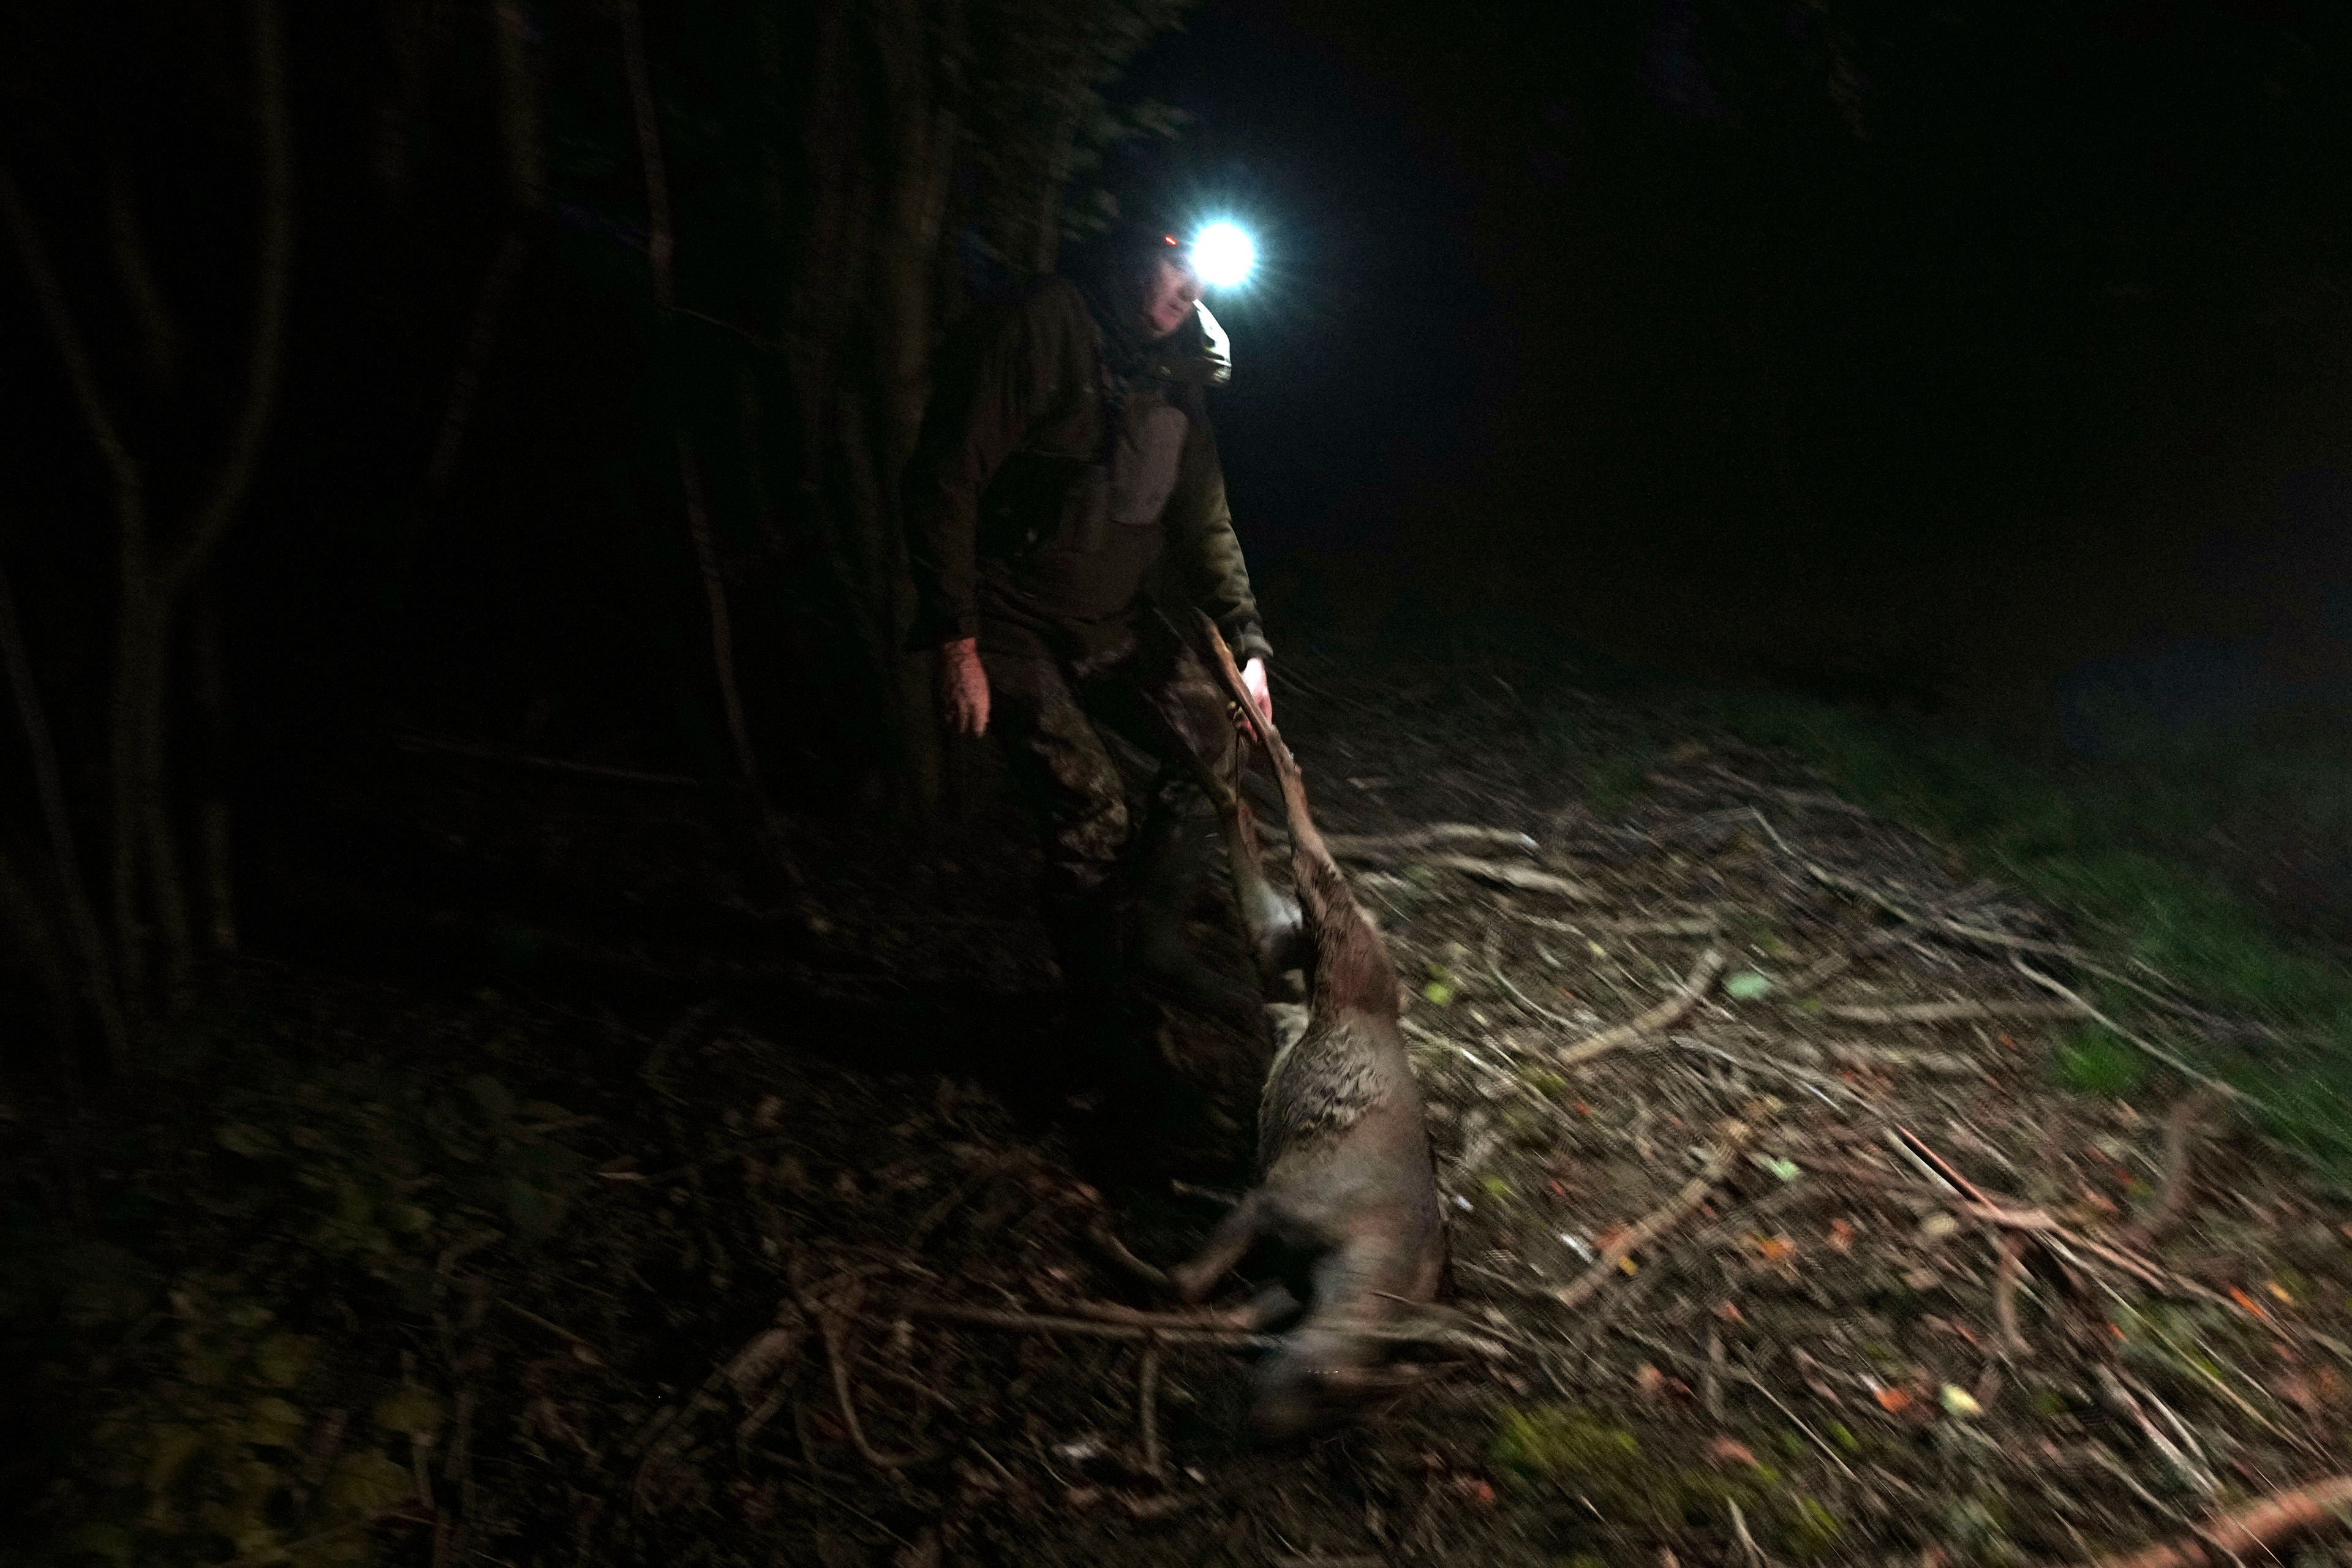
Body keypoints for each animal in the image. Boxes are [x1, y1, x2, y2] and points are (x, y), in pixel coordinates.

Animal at [1166, 616, 1439, 1448]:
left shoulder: (1285, 1279)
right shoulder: (1276, 1199)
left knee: (1255, 876)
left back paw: (1200, 720)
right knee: (1292, 783)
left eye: (1324, 1410)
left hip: (1292, 945)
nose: (1254, 1420)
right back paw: (1217, 663)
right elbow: (1184, 1280)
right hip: (1333, 918)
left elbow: (1216, 1305)